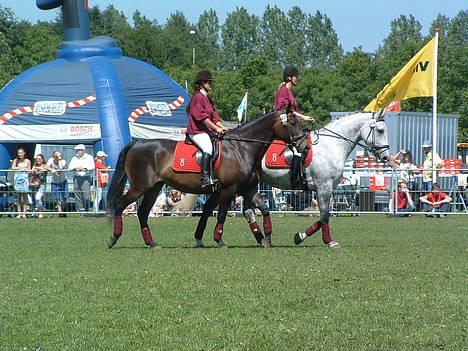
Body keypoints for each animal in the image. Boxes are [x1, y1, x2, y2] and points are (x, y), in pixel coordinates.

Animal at [106, 111, 308, 249]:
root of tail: (137, 143)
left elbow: (264, 209)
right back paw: (113, 238)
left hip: (153, 188)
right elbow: (221, 214)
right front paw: (219, 240)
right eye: (292, 122)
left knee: (142, 213)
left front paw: (266, 238)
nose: (304, 146)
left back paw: (151, 243)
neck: (242, 148)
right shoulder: (228, 189)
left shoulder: (246, 189)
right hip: (139, 187)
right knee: (119, 206)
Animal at [192, 112, 390, 248]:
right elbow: (325, 215)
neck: (331, 146)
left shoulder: (326, 189)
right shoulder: (324, 187)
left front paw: (300, 236)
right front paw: (328, 241)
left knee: (244, 210)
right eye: (380, 130)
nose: (386, 157)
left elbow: (324, 216)